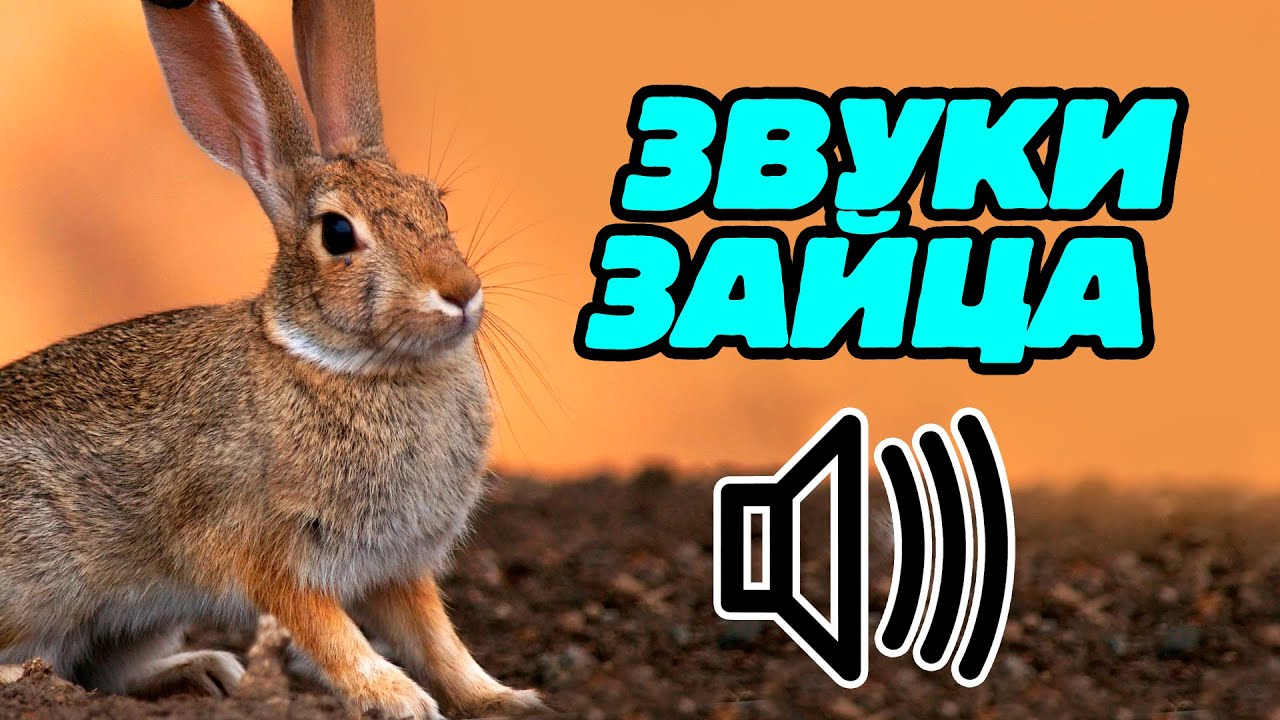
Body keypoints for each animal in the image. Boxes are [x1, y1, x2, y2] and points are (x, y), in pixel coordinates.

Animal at [0, 1, 547, 718]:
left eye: (438, 203)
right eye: (338, 234)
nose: (460, 290)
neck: (349, 365)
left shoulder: (397, 566)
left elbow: (436, 636)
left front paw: (503, 696)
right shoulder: (267, 553)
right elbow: (333, 633)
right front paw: (396, 697)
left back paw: (206, 670)